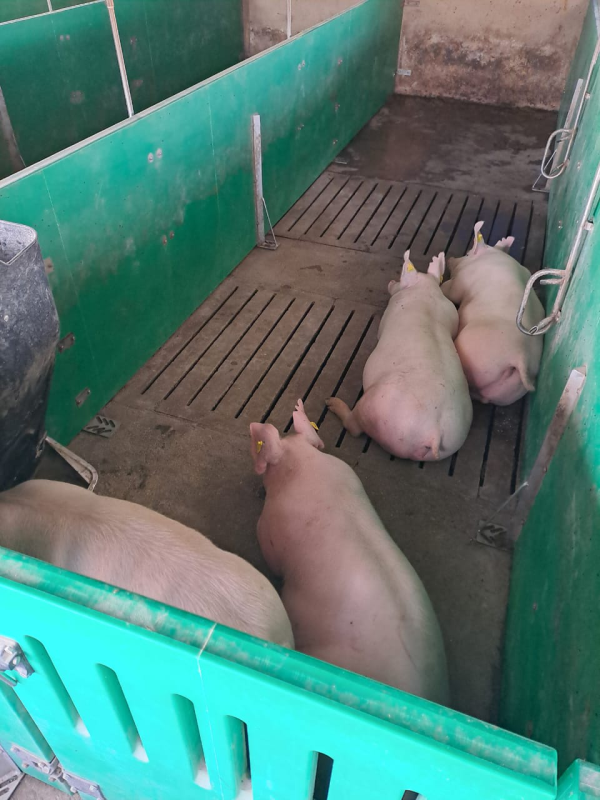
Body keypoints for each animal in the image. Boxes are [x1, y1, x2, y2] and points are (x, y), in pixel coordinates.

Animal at [327, 251, 472, 461]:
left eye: (401, 277)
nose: (390, 281)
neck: (425, 292)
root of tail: (434, 432)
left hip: (374, 407)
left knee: (354, 427)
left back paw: (332, 403)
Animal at [442, 221, 544, 406]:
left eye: (468, 253)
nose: (451, 258)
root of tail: (521, 356)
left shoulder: (459, 283)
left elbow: (450, 290)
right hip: (508, 392)